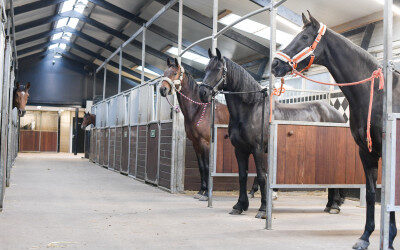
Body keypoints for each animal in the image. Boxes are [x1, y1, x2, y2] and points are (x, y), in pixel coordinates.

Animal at [159, 58, 262, 201]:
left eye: (174, 73)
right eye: (164, 73)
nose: (162, 90)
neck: (198, 109)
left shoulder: (206, 143)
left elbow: (208, 167)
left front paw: (207, 194)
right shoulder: (196, 143)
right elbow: (201, 167)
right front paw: (201, 191)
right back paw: (253, 191)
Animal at [200, 47, 346, 218]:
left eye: (218, 69)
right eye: (205, 69)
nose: (203, 93)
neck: (251, 109)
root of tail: (336, 113)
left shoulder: (258, 150)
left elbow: (262, 177)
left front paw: (263, 209)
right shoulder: (240, 150)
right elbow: (242, 177)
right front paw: (239, 206)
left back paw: (335, 205)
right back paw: (330, 205)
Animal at [270, 12, 398, 250]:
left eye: (304, 37)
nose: (275, 64)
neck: (376, 95)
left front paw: (390, 238)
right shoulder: (366, 152)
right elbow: (372, 193)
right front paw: (366, 236)